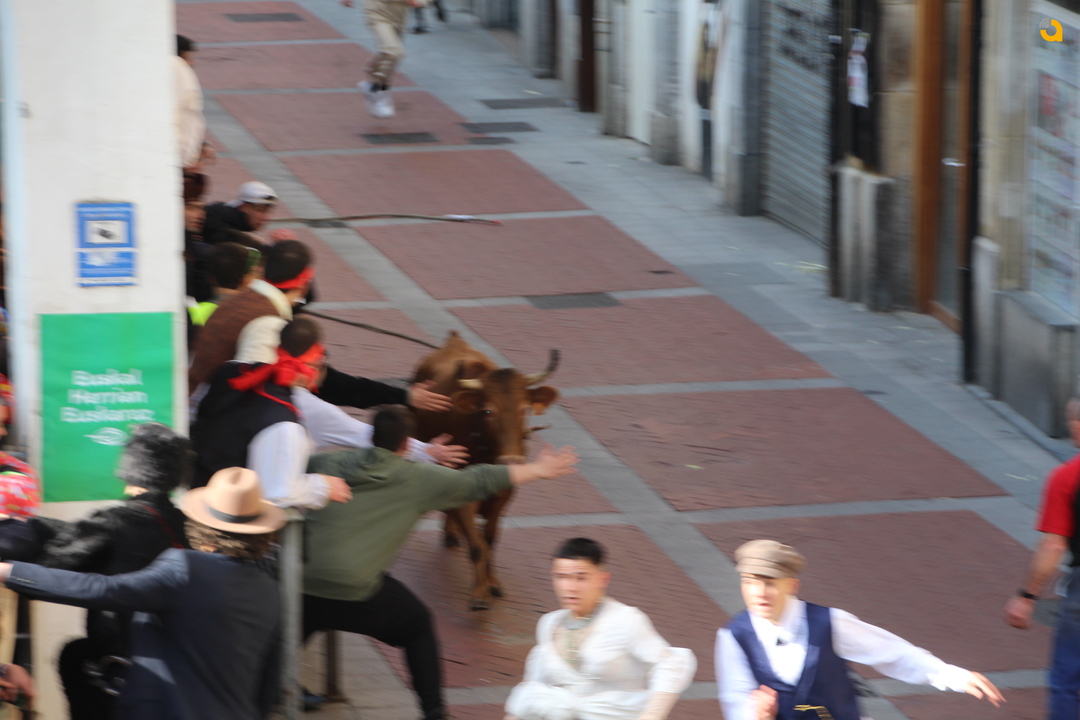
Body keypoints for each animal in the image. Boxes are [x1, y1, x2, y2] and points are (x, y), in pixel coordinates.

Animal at [413, 331, 560, 610]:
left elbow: (490, 539)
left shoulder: (505, 495)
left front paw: (492, 582)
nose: (512, 460)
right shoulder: (461, 492)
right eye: (488, 410)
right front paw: (480, 593)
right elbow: (478, 545)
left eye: (524, 409)